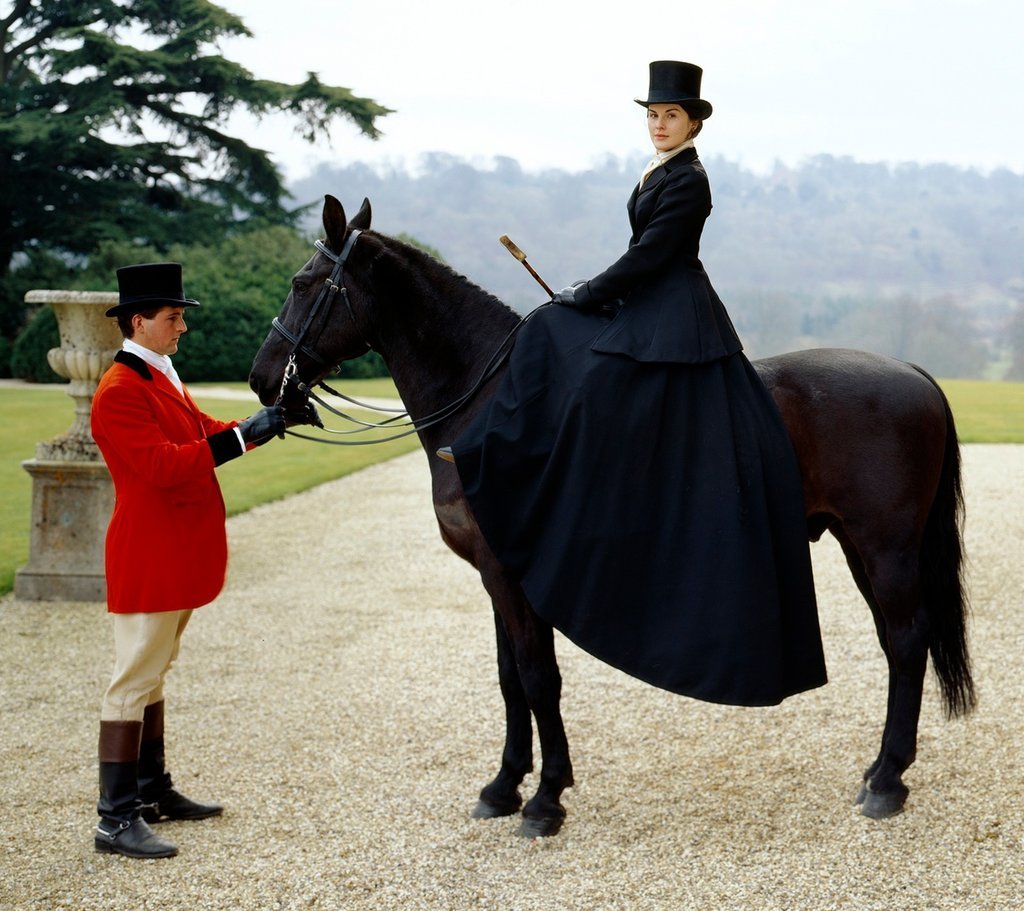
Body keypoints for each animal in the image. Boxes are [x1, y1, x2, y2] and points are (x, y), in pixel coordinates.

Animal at [249, 195, 974, 835]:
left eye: (302, 283)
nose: (261, 378)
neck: (486, 403)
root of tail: (913, 371)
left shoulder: (513, 574)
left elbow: (539, 678)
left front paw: (545, 799)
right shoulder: (494, 573)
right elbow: (510, 679)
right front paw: (503, 786)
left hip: (886, 547)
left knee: (906, 641)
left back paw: (888, 783)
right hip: (860, 545)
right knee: (897, 644)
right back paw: (880, 769)